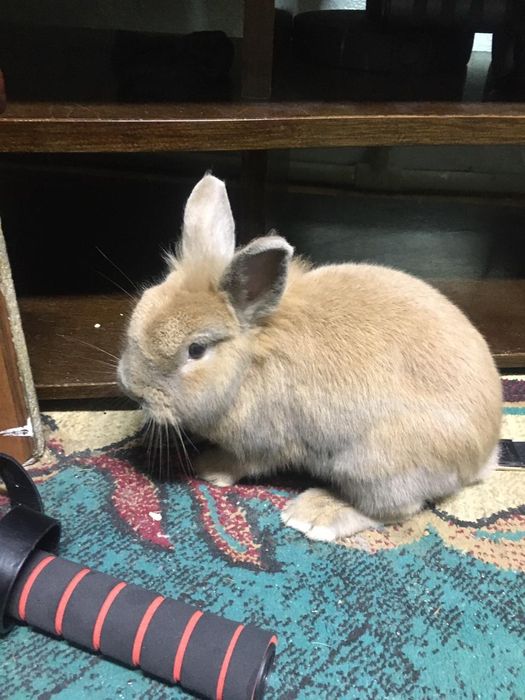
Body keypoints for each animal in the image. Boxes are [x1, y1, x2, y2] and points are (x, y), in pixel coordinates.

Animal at [118, 174, 502, 542]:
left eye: (196, 350)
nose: (131, 388)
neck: (250, 362)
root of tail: (481, 456)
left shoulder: (267, 440)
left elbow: (245, 462)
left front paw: (208, 467)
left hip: (377, 466)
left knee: (394, 510)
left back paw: (314, 514)